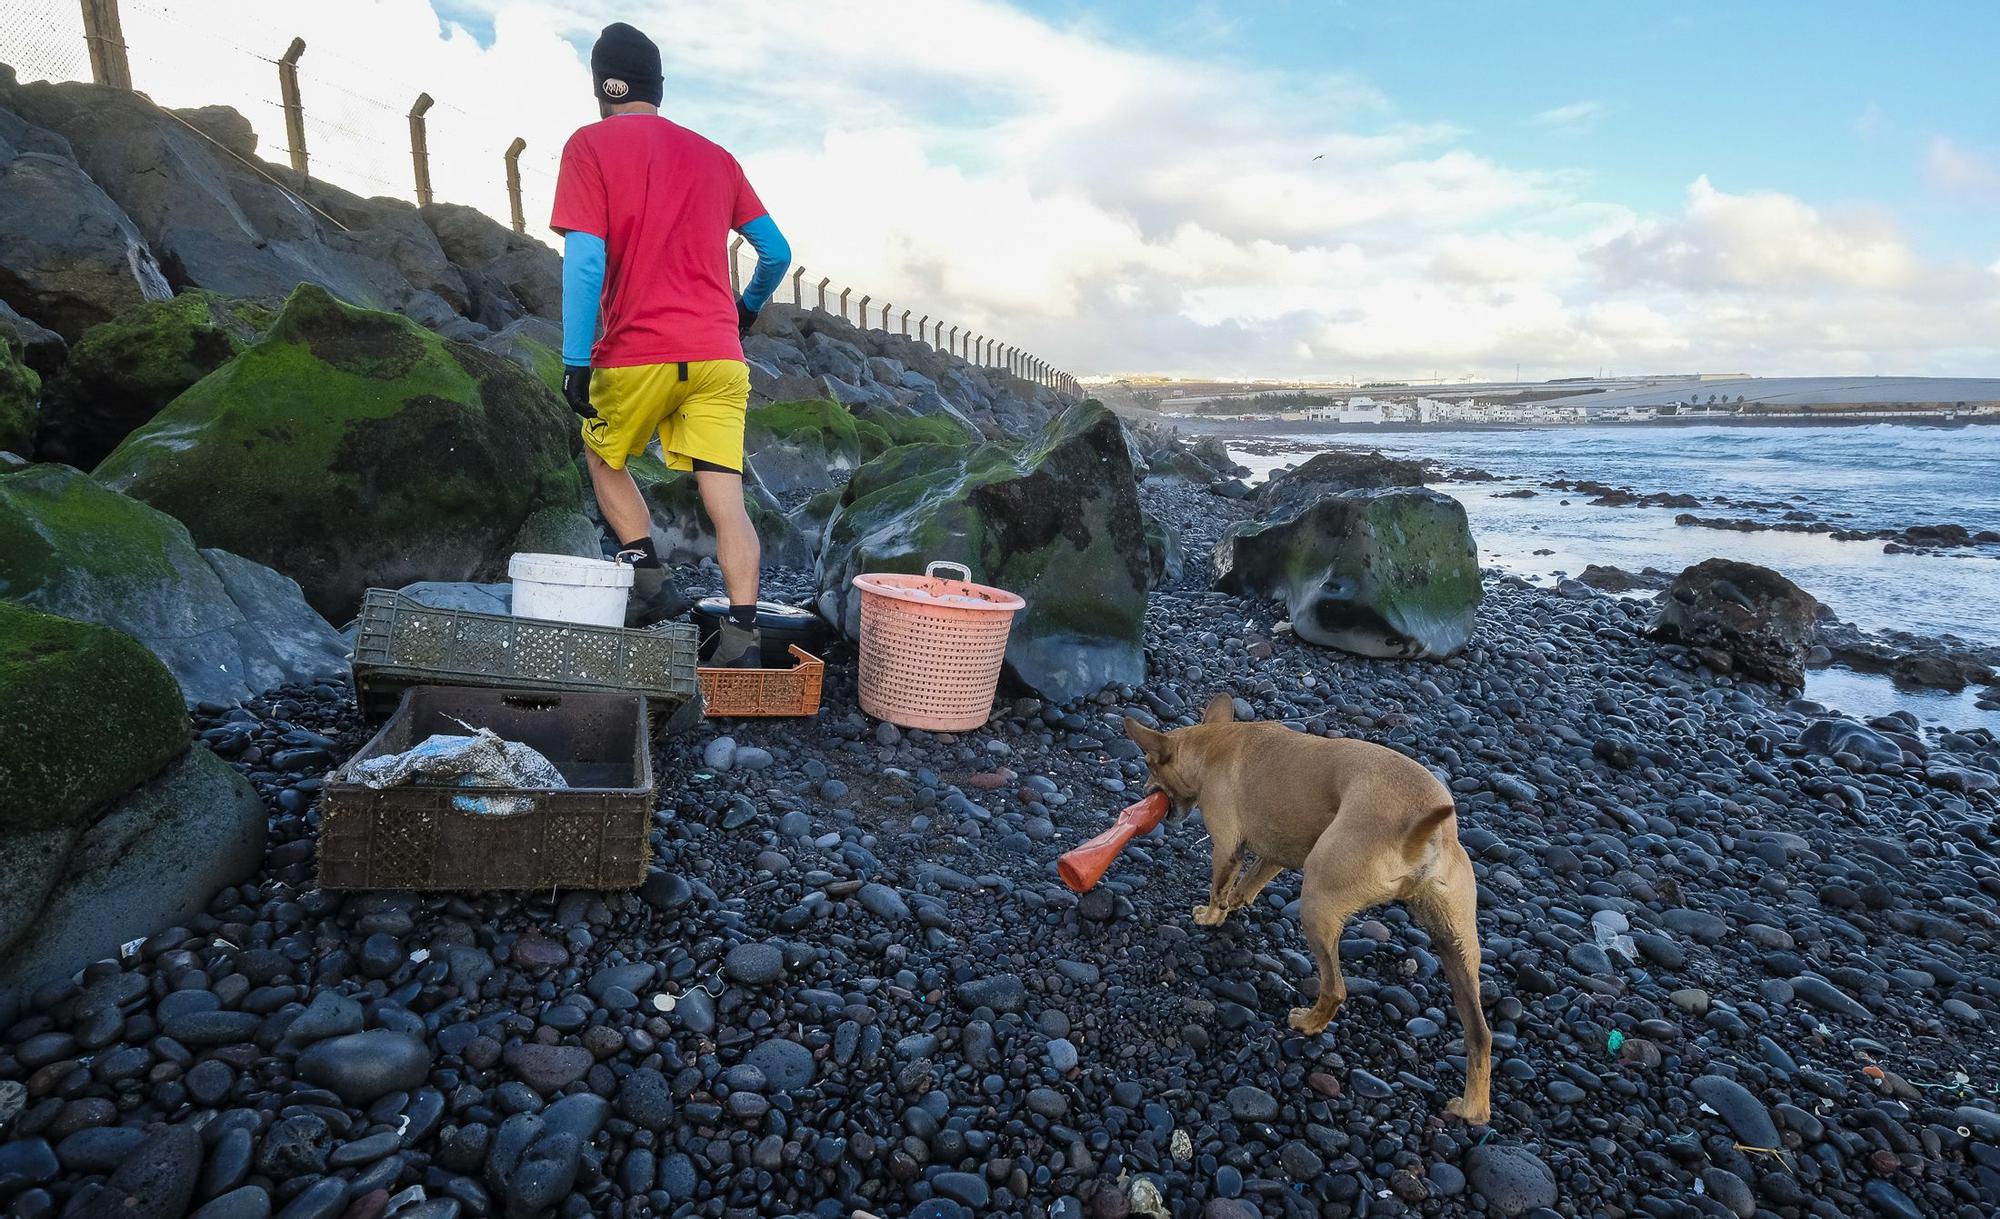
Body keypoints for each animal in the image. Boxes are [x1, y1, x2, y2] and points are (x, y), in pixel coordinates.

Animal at [1128, 691, 1488, 1119]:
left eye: (1150, 764)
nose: (1144, 790)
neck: (1214, 742)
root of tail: (1423, 833)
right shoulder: (1277, 851)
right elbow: (1251, 880)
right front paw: (1238, 901)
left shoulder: (1227, 847)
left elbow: (1219, 888)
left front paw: (1211, 915)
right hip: (1457, 946)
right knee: (1480, 1033)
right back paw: (1472, 1109)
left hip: (1317, 903)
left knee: (1335, 988)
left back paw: (1308, 1023)